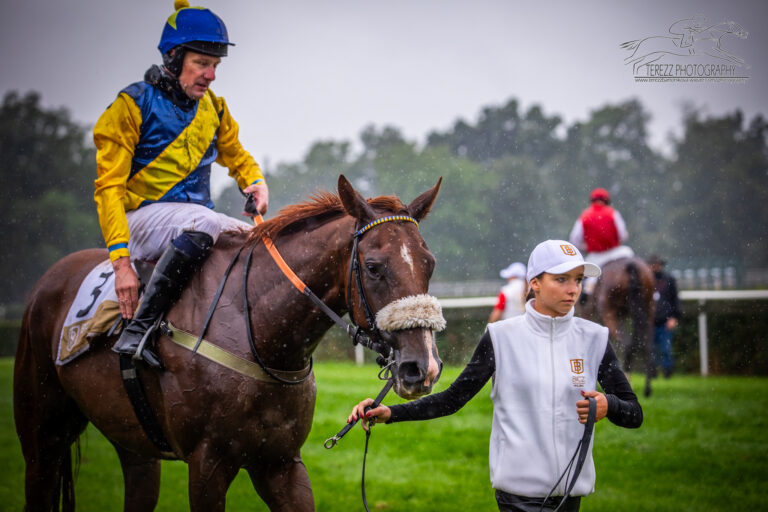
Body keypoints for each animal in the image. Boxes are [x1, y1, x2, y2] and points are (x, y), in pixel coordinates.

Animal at [12, 176, 444, 512]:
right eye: (373, 266)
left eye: (430, 263)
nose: (422, 367)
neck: (259, 336)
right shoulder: (208, 463)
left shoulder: (281, 462)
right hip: (42, 435)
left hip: (134, 444)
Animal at [584, 258, 656, 398]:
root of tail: (630, 264)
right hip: (648, 310)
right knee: (646, 344)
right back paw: (647, 389)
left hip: (612, 313)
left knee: (627, 343)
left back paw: (628, 378)